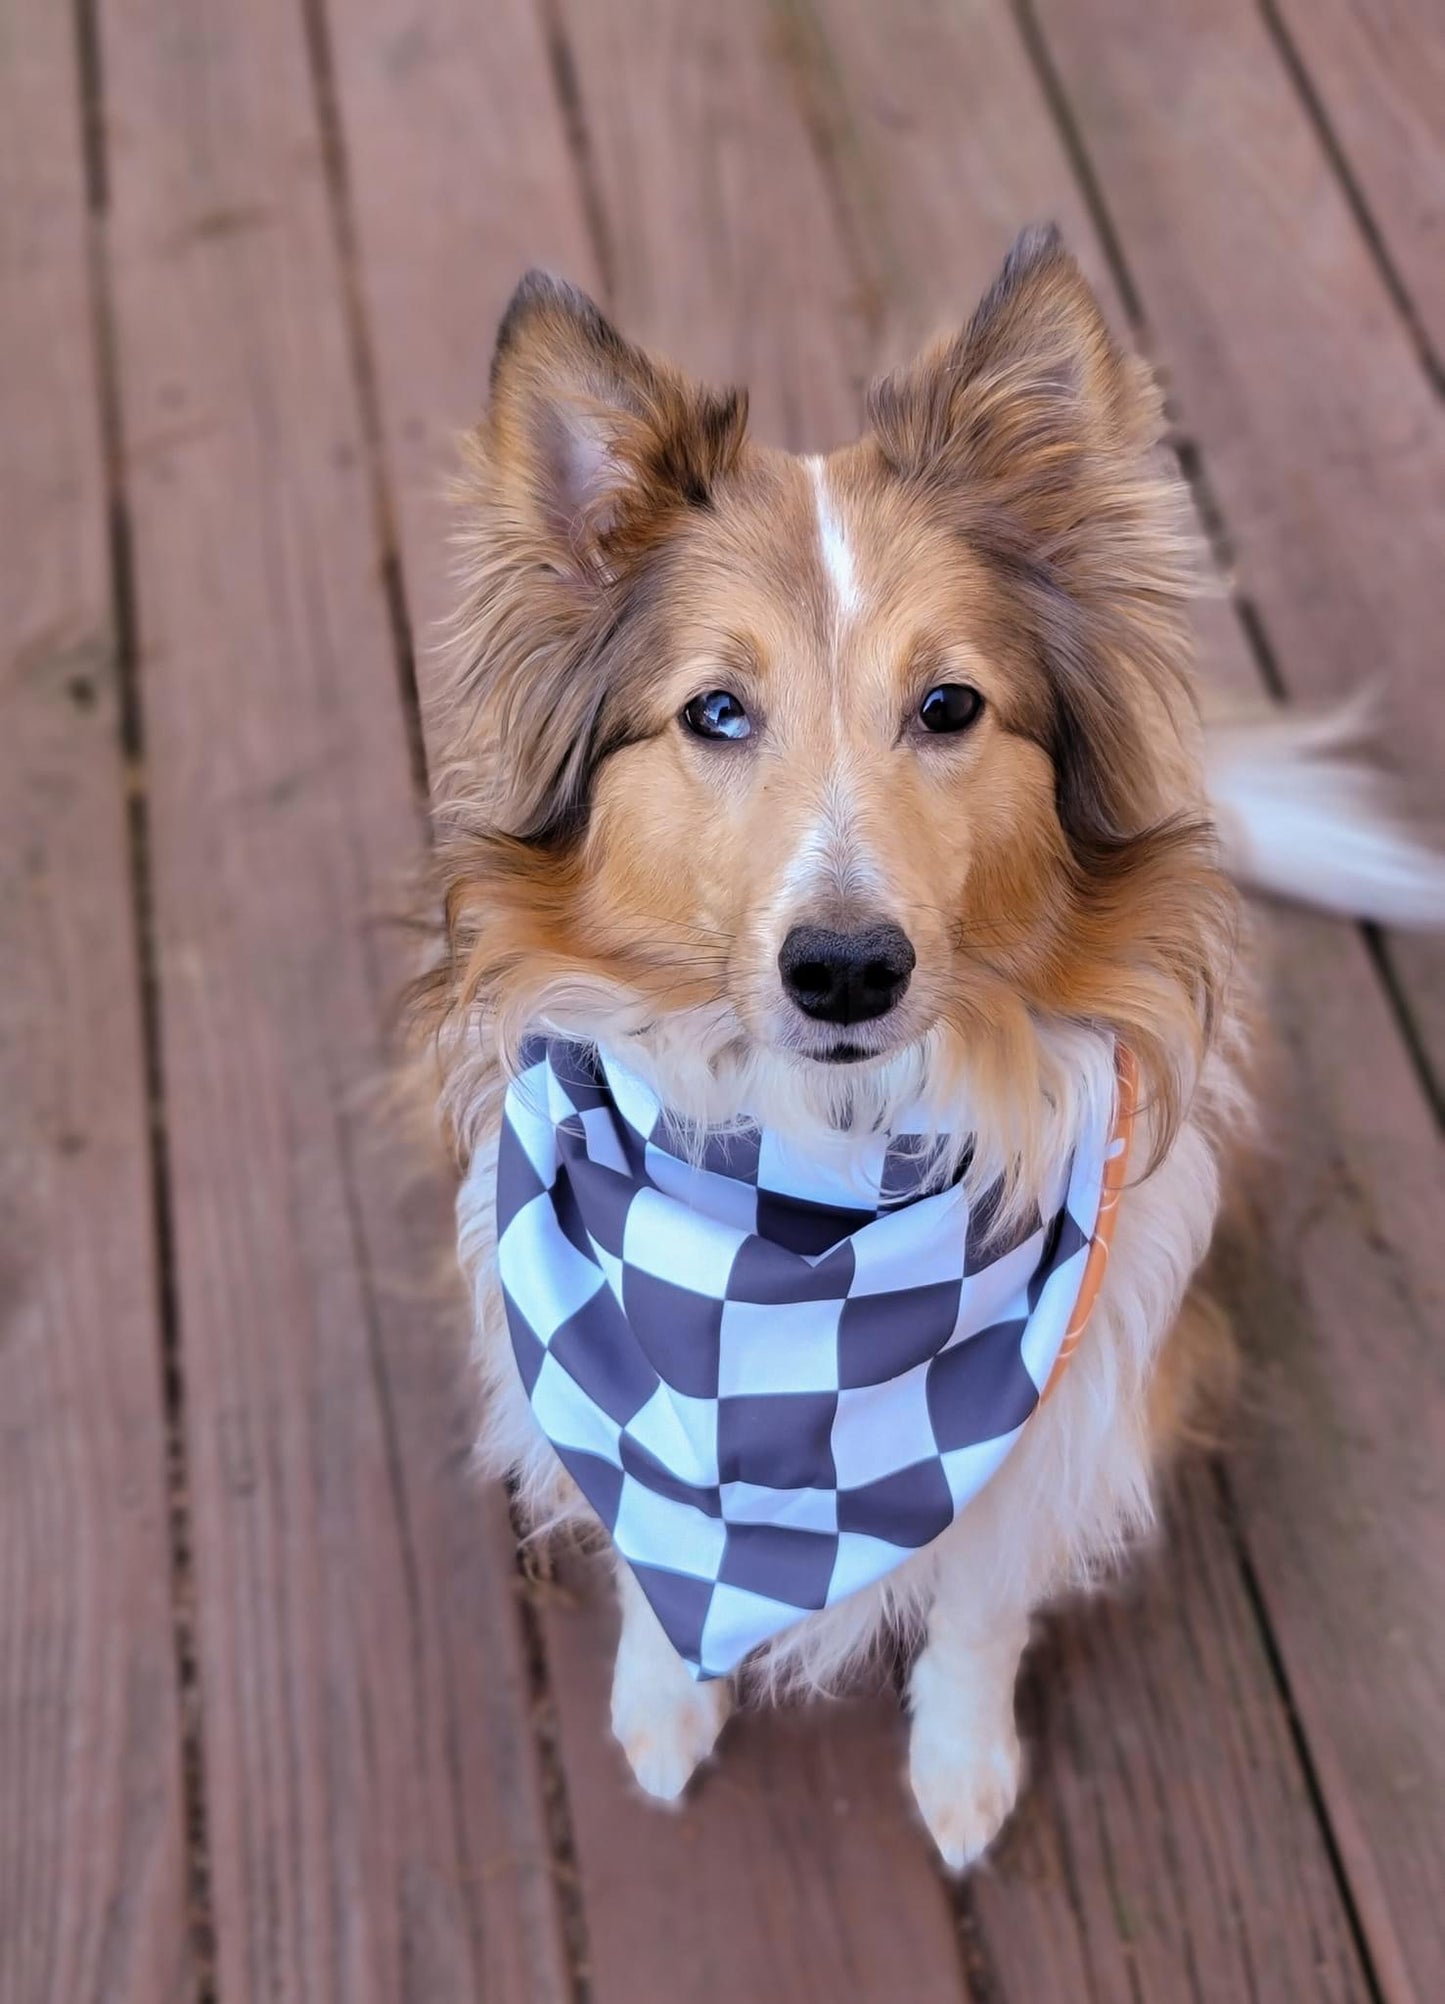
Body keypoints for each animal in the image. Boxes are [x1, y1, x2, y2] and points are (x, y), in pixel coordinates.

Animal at [404, 227, 1442, 1867]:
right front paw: (664, 1700)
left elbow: (979, 1605)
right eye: (714, 710)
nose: (844, 970)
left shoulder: (1076, 1404)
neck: (814, 1204)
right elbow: (648, 1564)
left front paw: (961, 1767)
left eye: (950, 704)